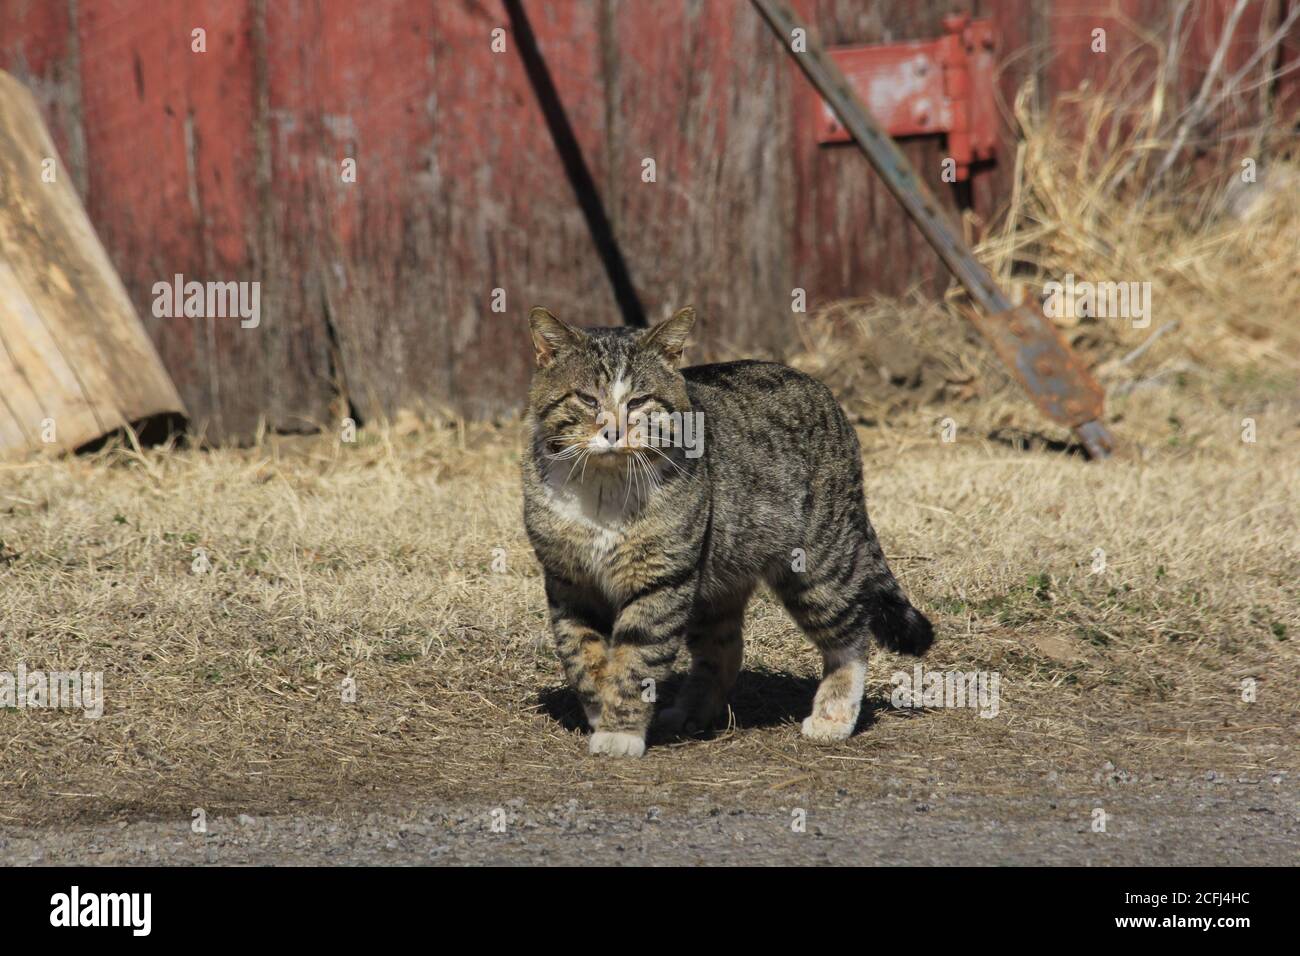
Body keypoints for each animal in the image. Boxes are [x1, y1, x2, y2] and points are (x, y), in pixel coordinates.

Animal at [522, 306, 930, 754]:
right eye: (586, 398)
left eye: (639, 401)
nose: (613, 431)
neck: (604, 491)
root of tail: (825, 394)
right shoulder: (568, 581)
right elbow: (583, 657)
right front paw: (600, 711)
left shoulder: (662, 581)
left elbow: (637, 659)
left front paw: (620, 732)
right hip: (716, 580)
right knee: (725, 650)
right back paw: (689, 714)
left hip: (818, 567)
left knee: (851, 638)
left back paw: (833, 716)